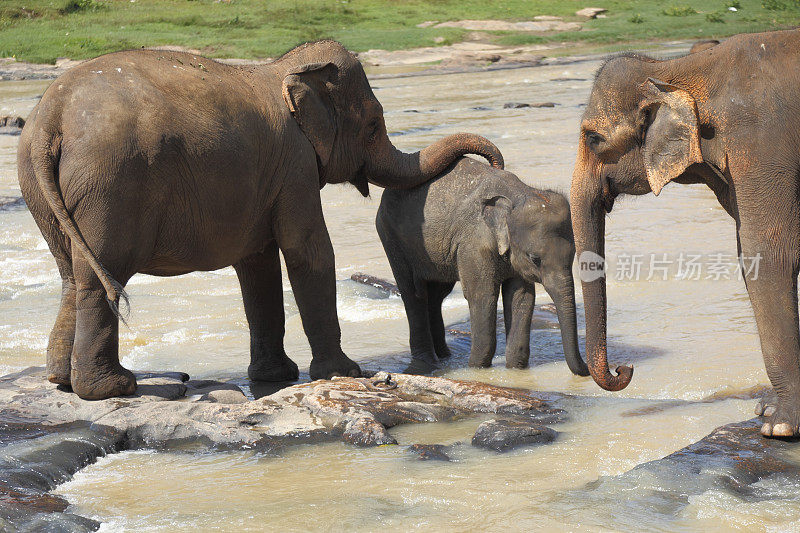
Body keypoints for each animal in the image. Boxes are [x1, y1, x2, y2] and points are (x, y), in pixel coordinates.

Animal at [17, 40, 500, 400]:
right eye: (373, 125)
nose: (493, 162)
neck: (284, 69)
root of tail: (50, 120)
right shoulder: (295, 165)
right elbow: (309, 252)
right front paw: (345, 373)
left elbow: (259, 266)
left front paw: (276, 377)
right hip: (111, 185)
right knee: (102, 275)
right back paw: (113, 388)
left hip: (46, 190)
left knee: (72, 274)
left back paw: (62, 381)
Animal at [376, 156, 588, 376]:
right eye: (534, 258)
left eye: (573, 255)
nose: (587, 369)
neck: (518, 195)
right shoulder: (473, 245)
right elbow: (482, 295)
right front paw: (476, 368)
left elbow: (521, 298)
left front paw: (515, 369)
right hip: (390, 236)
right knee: (413, 293)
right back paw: (426, 362)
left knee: (437, 294)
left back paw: (445, 356)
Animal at [568, 29, 800, 436]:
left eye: (593, 138)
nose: (624, 367)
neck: (677, 70)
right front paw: (767, 411)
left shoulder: (762, 145)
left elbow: (768, 256)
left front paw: (779, 427)